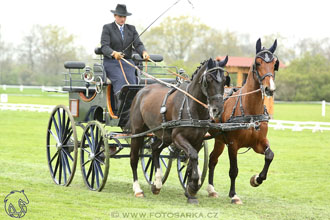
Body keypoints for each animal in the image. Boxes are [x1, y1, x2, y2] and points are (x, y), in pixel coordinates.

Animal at [129, 56, 229, 203]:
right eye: (209, 80)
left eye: (225, 80)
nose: (217, 110)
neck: (192, 106)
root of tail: (141, 91)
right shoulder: (178, 138)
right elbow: (193, 156)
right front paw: (193, 186)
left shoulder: (197, 140)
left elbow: (191, 160)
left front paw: (190, 191)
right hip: (138, 133)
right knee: (134, 158)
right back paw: (138, 189)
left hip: (164, 136)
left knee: (155, 149)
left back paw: (157, 184)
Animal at [209, 38, 278, 205]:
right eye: (258, 63)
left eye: (275, 64)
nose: (269, 88)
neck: (250, 111)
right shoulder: (233, 144)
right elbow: (234, 170)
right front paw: (234, 195)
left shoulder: (258, 143)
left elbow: (270, 155)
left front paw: (257, 179)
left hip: (219, 140)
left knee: (212, 159)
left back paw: (211, 189)